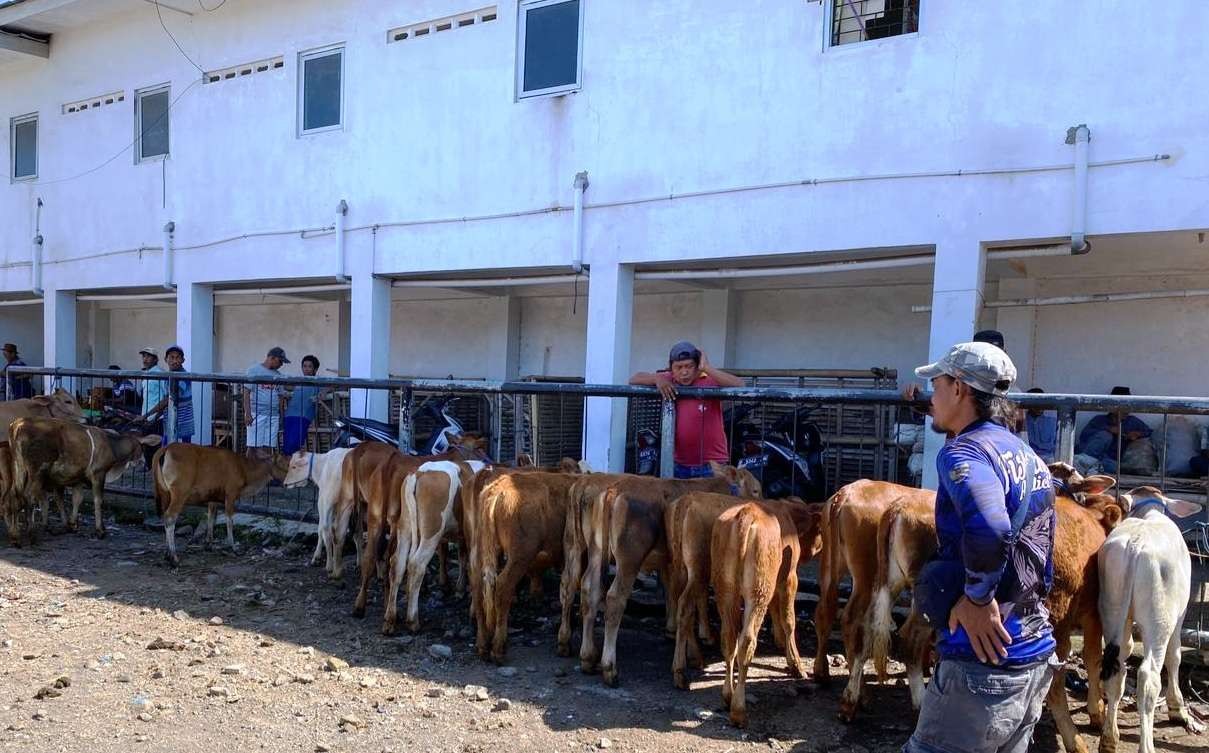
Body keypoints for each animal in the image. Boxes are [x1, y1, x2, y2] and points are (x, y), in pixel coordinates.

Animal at [10, 418, 160, 541]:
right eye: (142, 447)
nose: (146, 464)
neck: (112, 445)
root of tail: (18, 424)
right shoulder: (98, 474)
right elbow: (98, 500)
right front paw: (100, 530)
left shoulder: (78, 479)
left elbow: (77, 499)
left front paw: (72, 524)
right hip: (37, 472)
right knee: (29, 496)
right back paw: (31, 533)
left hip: (19, 470)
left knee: (17, 495)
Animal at [151, 442, 287, 565]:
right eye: (285, 465)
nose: (288, 483)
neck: (243, 468)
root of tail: (165, 449)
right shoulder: (231, 494)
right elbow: (229, 521)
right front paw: (233, 547)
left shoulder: (213, 498)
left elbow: (211, 517)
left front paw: (208, 544)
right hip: (180, 493)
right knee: (170, 517)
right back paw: (173, 557)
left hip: (165, 493)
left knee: (165, 517)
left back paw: (166, 553)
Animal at [560, 461, 759, 686]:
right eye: (755, 490)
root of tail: (613, 490)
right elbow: (694, 598)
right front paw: (702, 638)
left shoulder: (672, 563)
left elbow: (675, 593)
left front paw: (676, 632)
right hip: (629, 559)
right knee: (614, 598)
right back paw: (609, 668)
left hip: (586, 547)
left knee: (580, 586)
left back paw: (581, 653)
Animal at [710, 500, 826, 730]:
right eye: (820, 530)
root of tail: (746, 512)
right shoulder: (789, 578)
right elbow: (789, 620)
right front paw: (796, 665)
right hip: (758, 591)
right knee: (746, 641)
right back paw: (739, 711)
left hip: (726, 590)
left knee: (728, 639)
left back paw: (728, 696)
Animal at [1102, 488, 1204, 753]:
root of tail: (1136, 543)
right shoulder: (1179, 614)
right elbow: (1175, 656)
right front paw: (1178, 708)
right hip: (1159, 619)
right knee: (1149, 676)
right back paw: (1146, 745)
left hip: (1112, 609)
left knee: (1116, 668)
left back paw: (1109, 737)